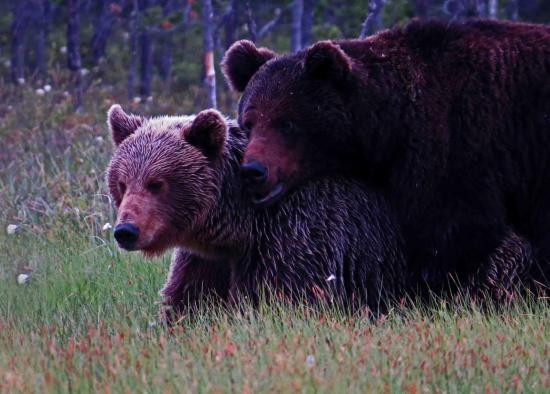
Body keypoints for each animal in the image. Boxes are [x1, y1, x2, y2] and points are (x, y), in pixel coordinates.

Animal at [106, 105, 410, 320]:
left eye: (156, 183)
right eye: (122, 182)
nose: (126, 231)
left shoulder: (298, 235)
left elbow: (275, 299)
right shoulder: (208, 259)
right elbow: (189, 299)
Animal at [222, 18, 548, 296]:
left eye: (287, 123)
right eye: (249, 122)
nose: (253, 170)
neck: (392, 123)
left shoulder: (458, 143)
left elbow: (452, 231)